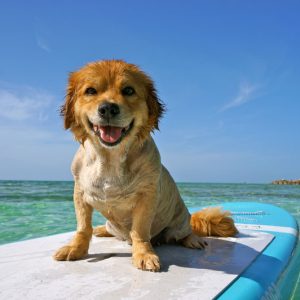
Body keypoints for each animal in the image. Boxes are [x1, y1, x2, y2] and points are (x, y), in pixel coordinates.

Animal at [52, 60, 238, 272]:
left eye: (128, 90)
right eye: (91, 90)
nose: (108, 108)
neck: (109, 160)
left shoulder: (146, 196)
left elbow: (139, 231)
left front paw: (144, 254)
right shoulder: (80, 193)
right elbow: (83, 228)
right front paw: (76, 248)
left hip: (181, 220)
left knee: (183, 233)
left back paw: (192, 239)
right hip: (112, 224)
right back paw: (101, 229)